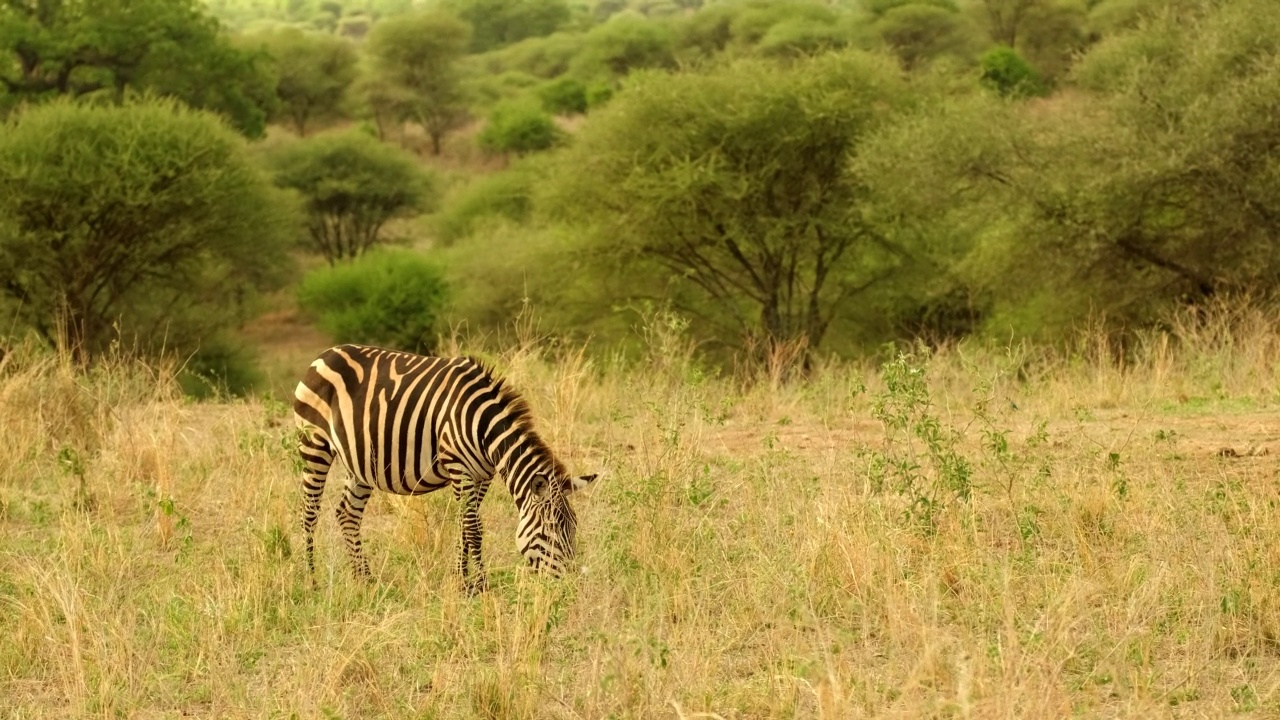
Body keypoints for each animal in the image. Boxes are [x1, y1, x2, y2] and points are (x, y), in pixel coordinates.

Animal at [295, 345, 599, 591]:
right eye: (549, 532)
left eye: (573, 530)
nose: (567, 586)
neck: (484, 428)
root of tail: (326, 353)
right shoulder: (458, 468)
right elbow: (473, 528)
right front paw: (480, 585)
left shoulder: (482, 476)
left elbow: (465, 526)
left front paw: (461, 581)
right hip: (314, 445)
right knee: (309, 513)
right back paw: (311, 581)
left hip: (360, 461)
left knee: (348, 513)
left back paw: (364, 579)